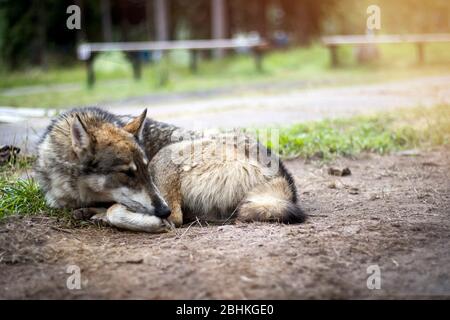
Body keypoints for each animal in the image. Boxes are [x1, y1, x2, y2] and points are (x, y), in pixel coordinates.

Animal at [36, 107, 306, 232]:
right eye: (127, 173)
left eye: (143, 170)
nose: (161, 210)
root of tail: (282, 177)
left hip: (166, 156)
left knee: (175, 217)